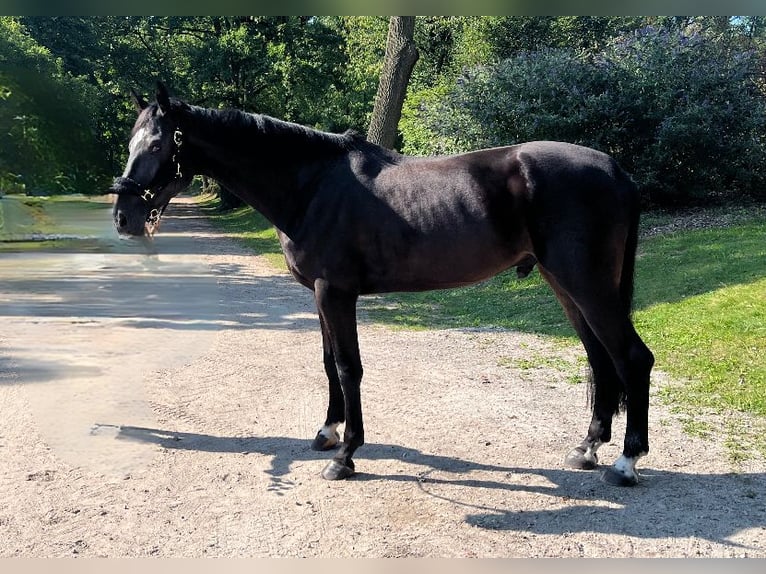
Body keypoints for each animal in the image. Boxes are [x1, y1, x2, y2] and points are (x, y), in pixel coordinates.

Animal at [111, 83, 656, 488]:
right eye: (132, 144)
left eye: (158, 145)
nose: (124, 216)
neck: (311, 187)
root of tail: (617, 171)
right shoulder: (319, 295)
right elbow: (328, 362)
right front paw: (328, 432)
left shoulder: (335, 292)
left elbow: (348, 367)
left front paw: (346, 455)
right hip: (566, 286)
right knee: (599, 357)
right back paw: (587, 447)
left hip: (585, 284)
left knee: (632, 358)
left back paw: (626, 462)